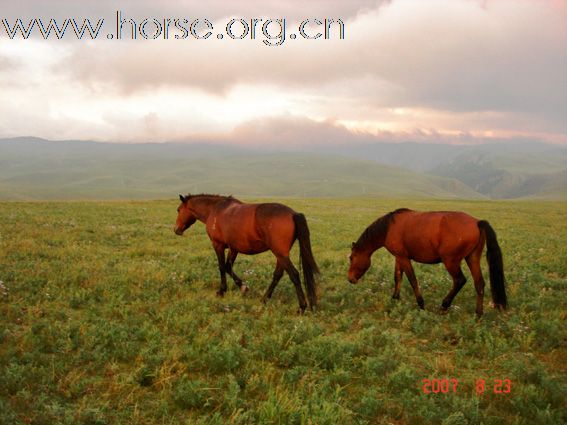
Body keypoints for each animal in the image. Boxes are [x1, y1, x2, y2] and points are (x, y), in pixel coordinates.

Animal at [173, 193, 320, 312]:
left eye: (178, 210)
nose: (176, 229)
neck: (215, 210)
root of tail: (293, 214)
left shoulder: (218, 245)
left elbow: (221, 267)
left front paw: (222, 291)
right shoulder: (233, 248)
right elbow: (228, 267)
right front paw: (243, 287)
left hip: (280, 254)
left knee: (294, 274)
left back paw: (302, 307)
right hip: (281, 255)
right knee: (277, 275)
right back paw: (264, 299)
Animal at [348, 209, 508, 314]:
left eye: (351, 258)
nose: (350, 279)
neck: (388, 228)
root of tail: (477, 222)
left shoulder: (404, 258)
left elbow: (412, 280)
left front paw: (421, 304)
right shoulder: (399, 257)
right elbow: (397, 277)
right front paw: (395, 298)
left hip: (451, 261)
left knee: (459, 280)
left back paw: (444, 306)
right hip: (472, 258)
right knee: (479, 283)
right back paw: (478, 314)